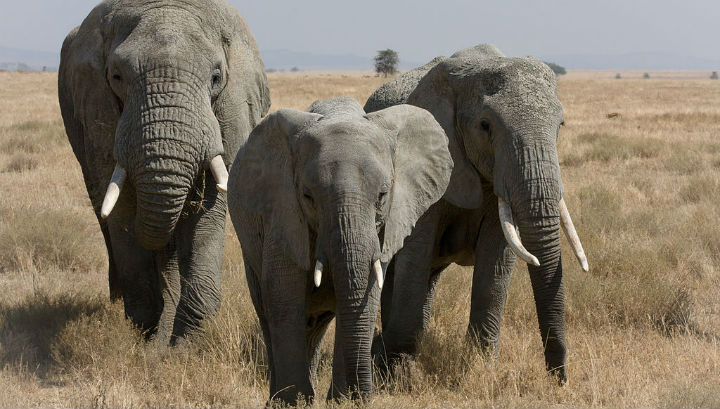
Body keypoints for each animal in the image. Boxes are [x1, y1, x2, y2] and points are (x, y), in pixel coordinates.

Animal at [58, 0, 270, 344]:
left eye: (216, 77)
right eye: (116, 76)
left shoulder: (230, 110)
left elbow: (209, 206)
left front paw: (186, 343)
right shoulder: (98, 112)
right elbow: (121, 207)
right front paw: (145, 333)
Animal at [227, 97, 452, 404]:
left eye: (382, 195)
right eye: (308, 196)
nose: (365, 396)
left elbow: (365, 298)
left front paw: (341, 401)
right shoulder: (282, 212)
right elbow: (283, 297)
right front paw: (293, 403)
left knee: (316, 323)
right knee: (268, 311)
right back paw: (282, 397)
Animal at [364, 44, 588, 383]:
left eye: (560, 126)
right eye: (485, 126)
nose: (560, 379)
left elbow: (496, 262)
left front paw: (478, 368)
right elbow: (415, 255)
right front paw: (400, 375)